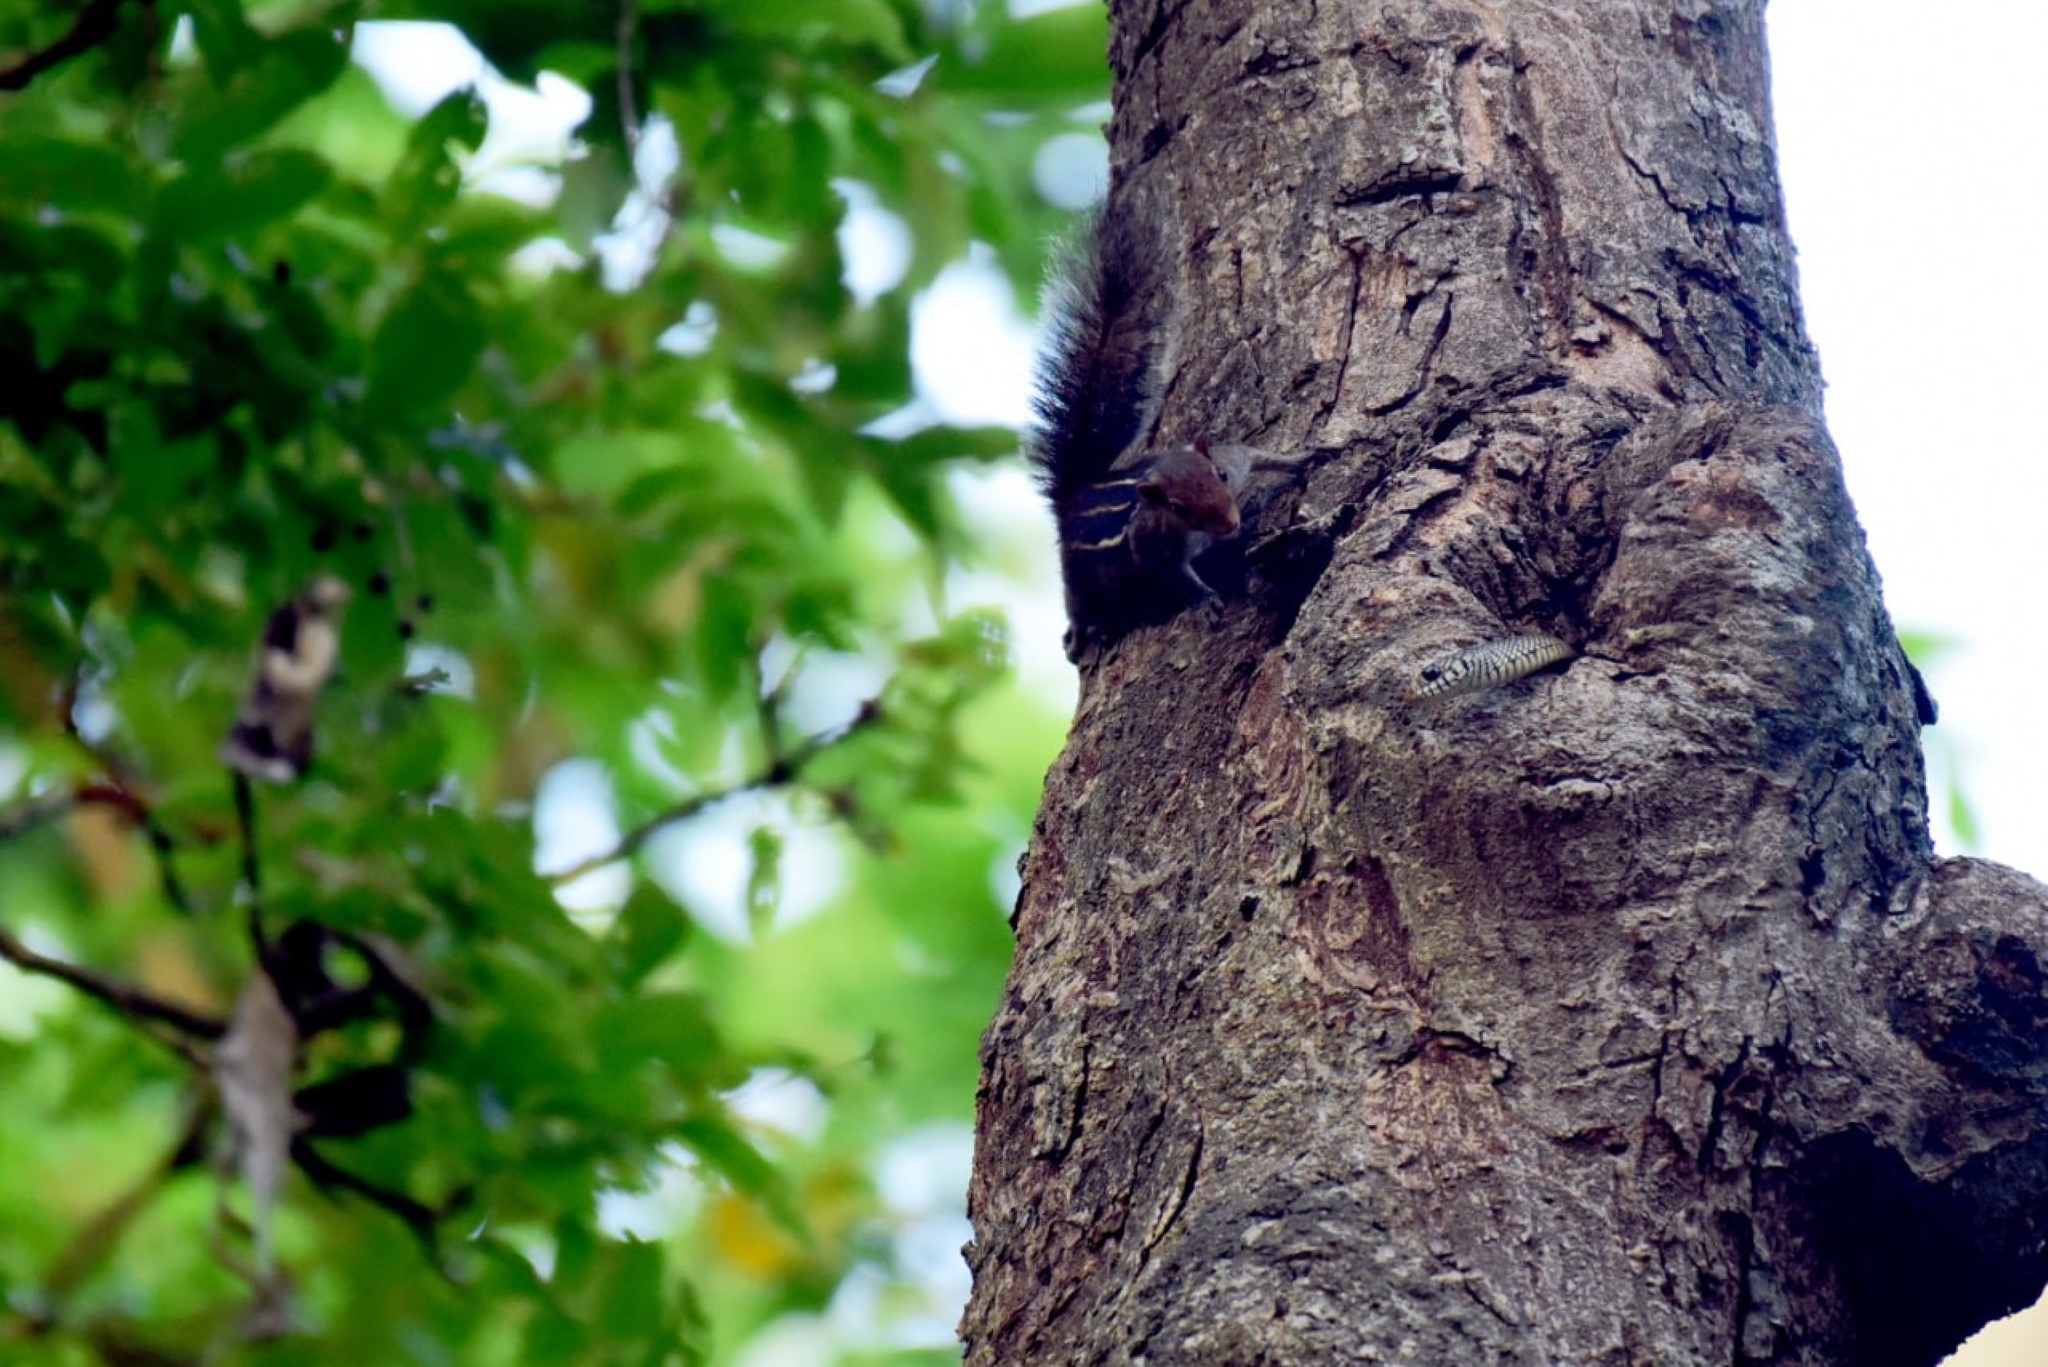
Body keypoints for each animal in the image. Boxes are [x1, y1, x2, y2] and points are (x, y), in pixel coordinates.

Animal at [1032, 204, 1286, 668]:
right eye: (1177, 508)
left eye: (1221, 476)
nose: (1230, 524)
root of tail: (1071, 493)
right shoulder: (1152, 544)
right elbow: (1174, 576)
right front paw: (1203, 600)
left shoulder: (1232, 458)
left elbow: (1257, 454)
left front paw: (1311, 456)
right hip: (1080, 574)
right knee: (1078, 603)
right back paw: (1079, 634)